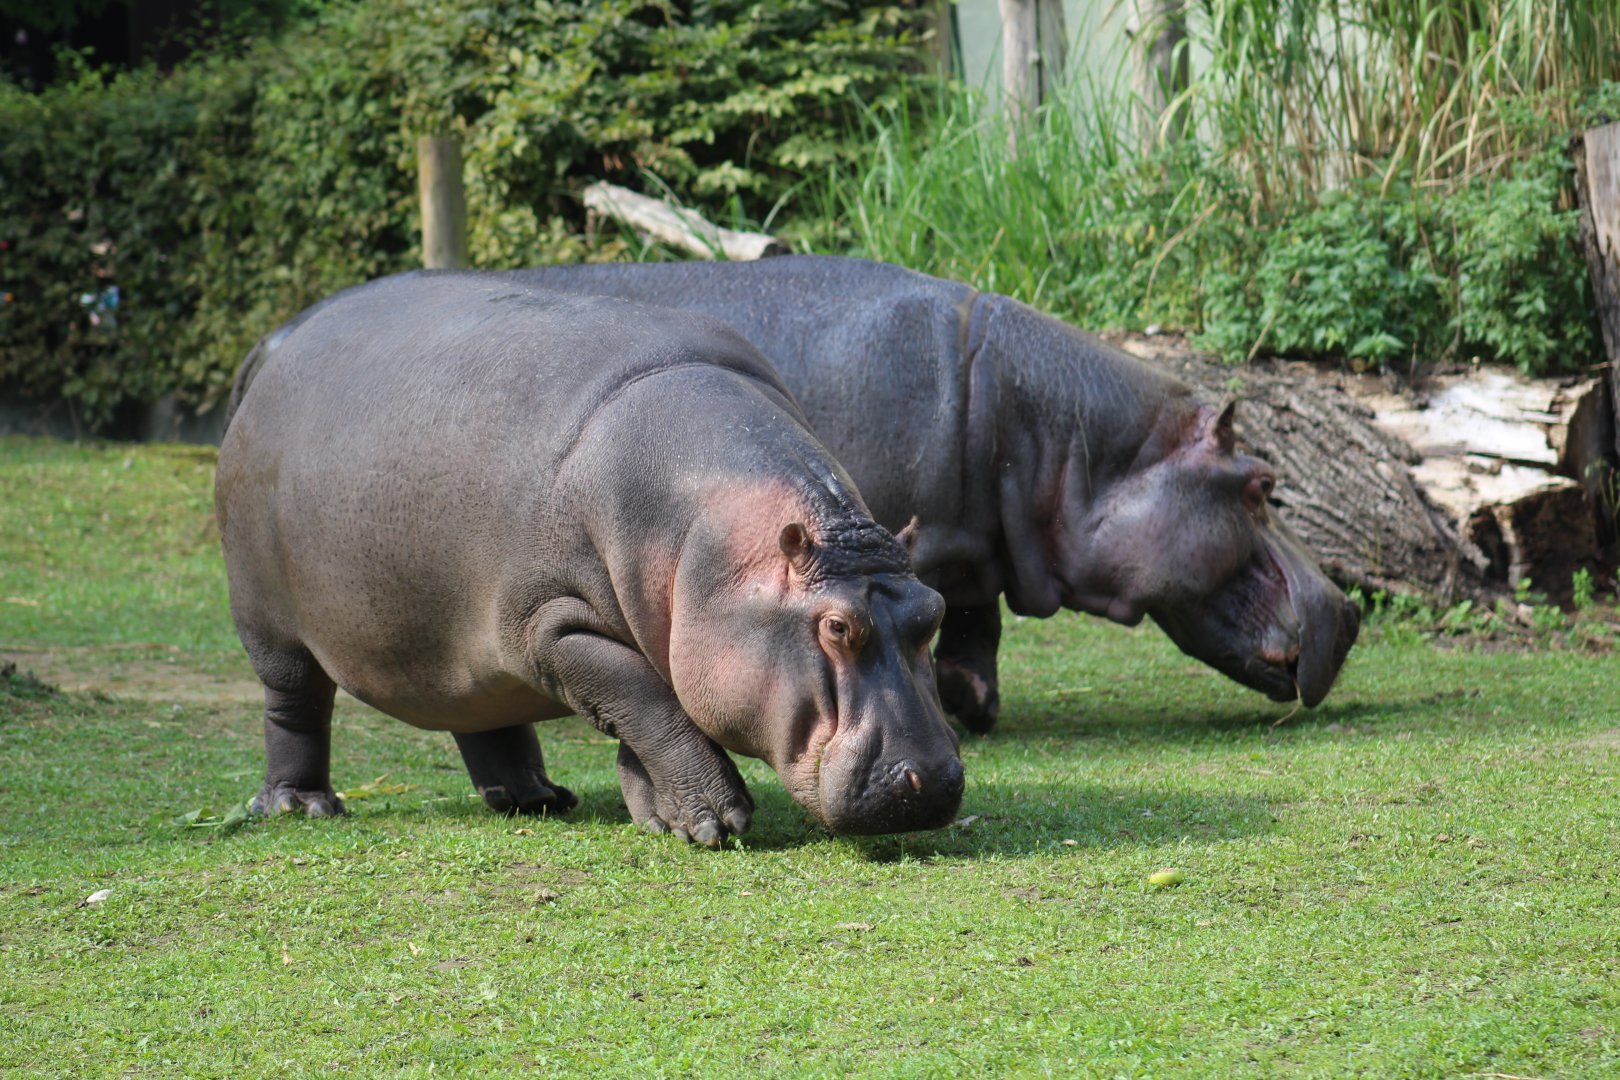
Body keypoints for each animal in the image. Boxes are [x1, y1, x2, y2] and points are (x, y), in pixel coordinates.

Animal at [216, 272, 963, 845]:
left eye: (935, 610)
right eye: (836, 628)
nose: (932, 780)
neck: (712, 545)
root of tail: (280, 344)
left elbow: (645, 714)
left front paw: (662, 816)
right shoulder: (551, 627)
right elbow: (646, 701)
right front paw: (714, 822)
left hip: (454, 640)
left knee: (482, 715)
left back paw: (536, 798)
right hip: (270, 623)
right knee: (294, 706)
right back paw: (301, 806)